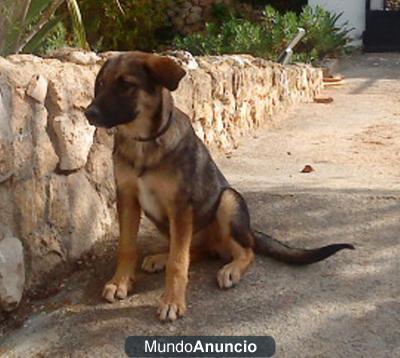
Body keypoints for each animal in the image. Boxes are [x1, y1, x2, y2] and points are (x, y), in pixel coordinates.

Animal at [84, 51, 354, 324]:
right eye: (100, 84)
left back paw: (230, 269)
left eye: (126, 85)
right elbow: (128, 247)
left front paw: (172, 302)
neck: (144, 142)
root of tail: (249, 230)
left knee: (243, 250)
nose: (88, 114)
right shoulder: (127, 198)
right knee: (194, 250)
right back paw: (162, 257)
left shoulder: (180, 206)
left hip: (227, 200)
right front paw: (120, 282)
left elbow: (178, 262)